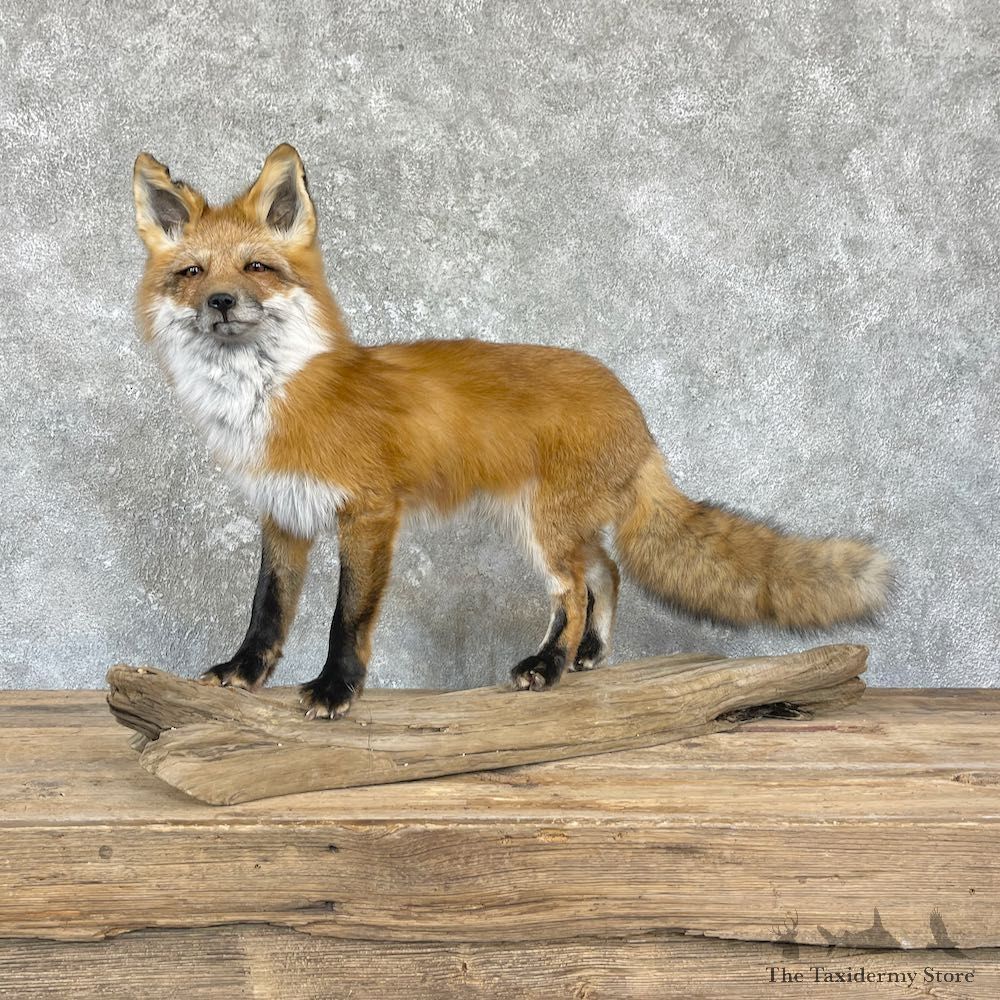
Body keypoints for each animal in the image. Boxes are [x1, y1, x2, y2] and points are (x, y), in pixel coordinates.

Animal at [132, 144, 891, 720]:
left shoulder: (369, 515)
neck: (271, 398)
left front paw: (336, 690)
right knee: (603, 572)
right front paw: (243, 674)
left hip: (543, 526)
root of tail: (632, 403)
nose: (221, 301)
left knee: (577, 592)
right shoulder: (283, 514)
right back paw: (585, 658)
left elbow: (346, 617)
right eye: (193, 272)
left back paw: (549, 666)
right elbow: (268, 607)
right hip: (548, 522)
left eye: (256, 266)